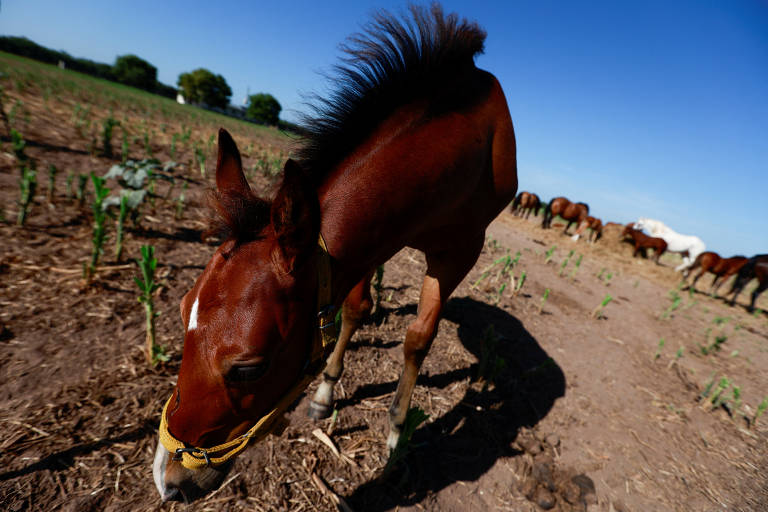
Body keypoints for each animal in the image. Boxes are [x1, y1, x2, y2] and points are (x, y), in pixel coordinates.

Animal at [153, 6, 520, 504]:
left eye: (249, 369)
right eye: (180, 310)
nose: (169, 480)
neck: (459, 146)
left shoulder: (459, 253)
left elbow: (418, 338)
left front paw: (396, 433)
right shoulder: (366, 244)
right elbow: (351, 308)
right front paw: (326, 391)